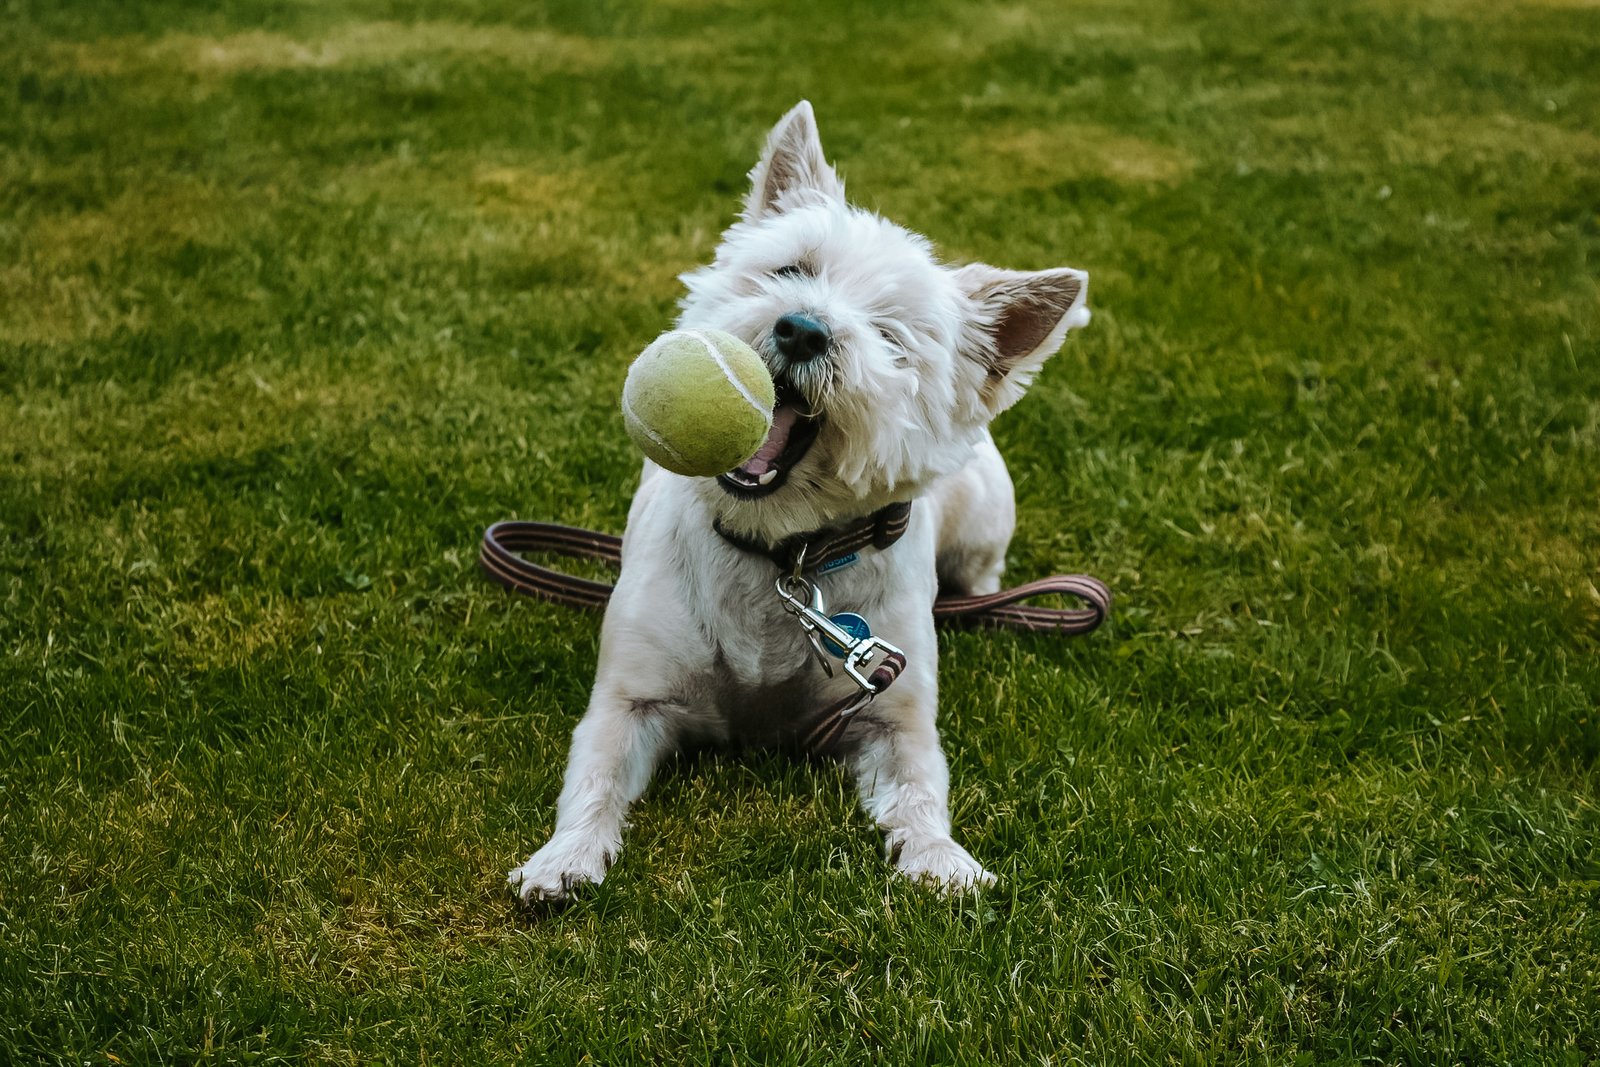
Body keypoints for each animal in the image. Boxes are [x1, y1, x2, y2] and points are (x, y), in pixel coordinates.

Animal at [508, 102, 1088, 902]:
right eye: (792, 270)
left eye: (892, 336)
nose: (801, 328)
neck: (783, 555)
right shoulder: (630, 699)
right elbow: (593, 779)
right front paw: (561, 860)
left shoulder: (891, 713)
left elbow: (919, 790)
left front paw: (942, 860)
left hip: (982, 522)